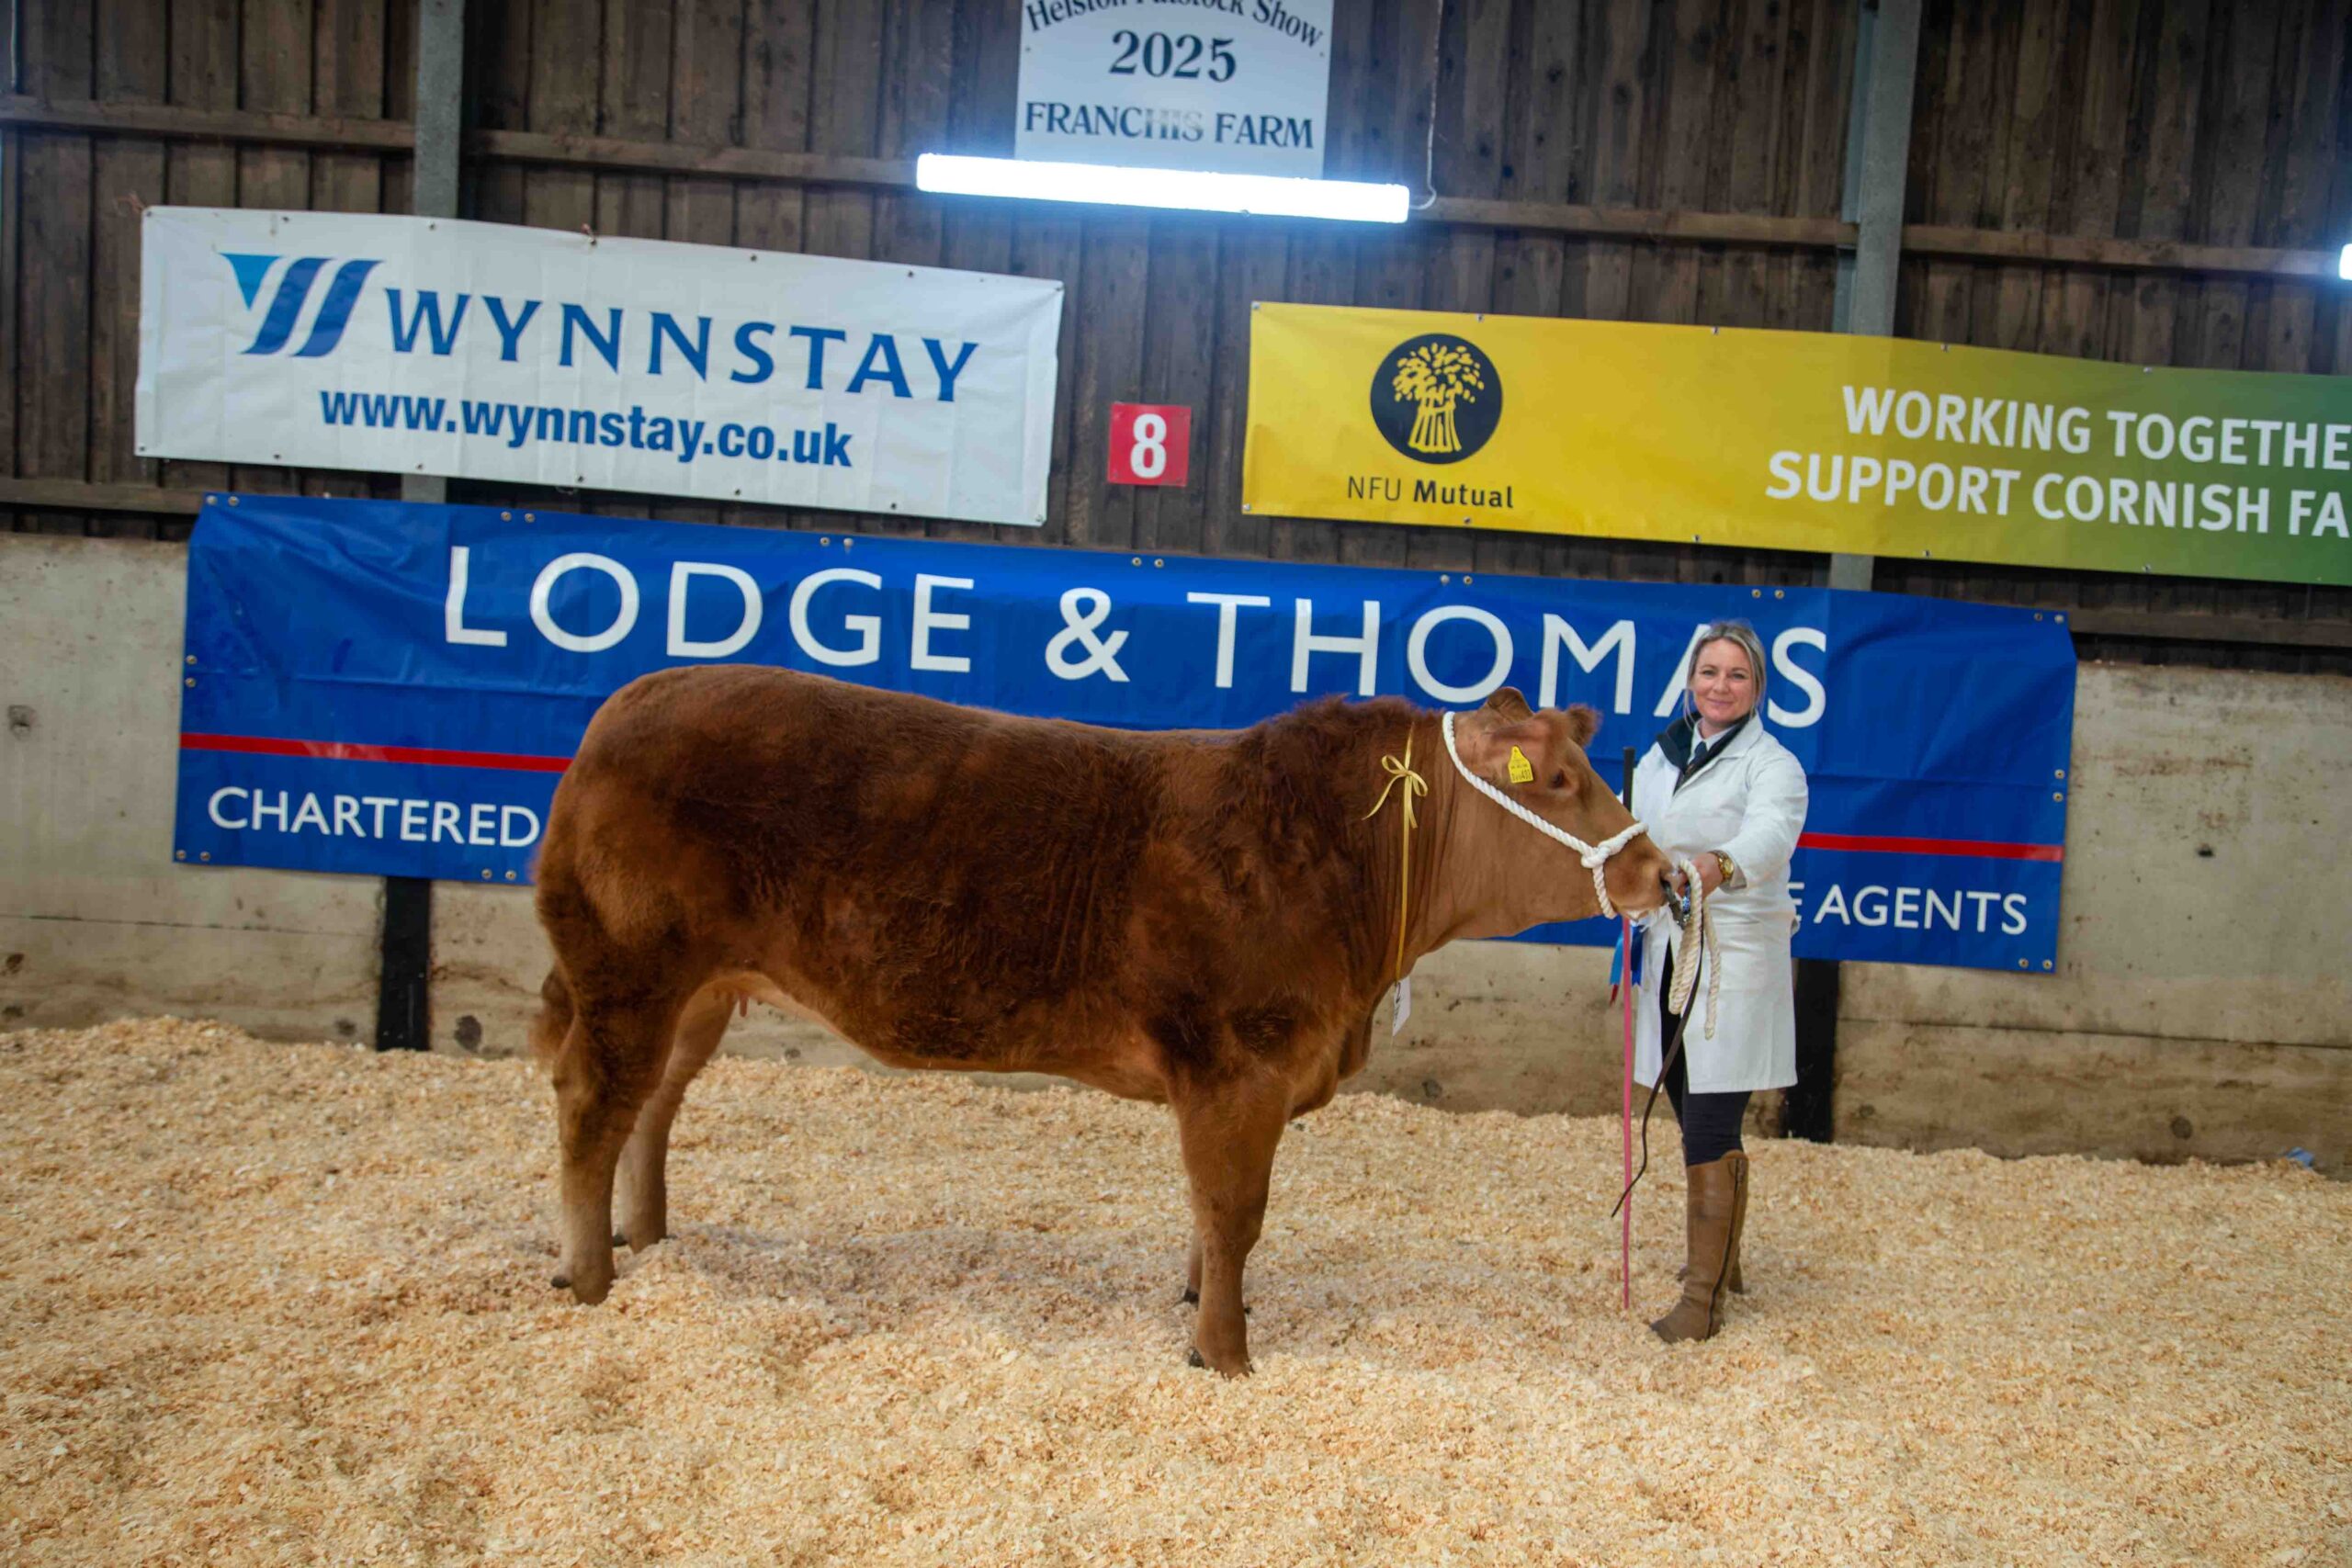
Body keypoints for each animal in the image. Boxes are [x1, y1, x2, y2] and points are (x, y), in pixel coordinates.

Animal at [530, 665, 1675, 1375]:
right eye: (1561, 779)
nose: (1661, 873)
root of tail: (625, 704)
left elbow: (1211, 1216)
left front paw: (1201, 1309)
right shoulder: (1238, 1062)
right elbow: (1234, 1211)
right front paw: (1226, 1353)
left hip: (699, 990)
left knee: (654, 1104)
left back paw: (649, 1235)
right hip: (630, 969)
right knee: (592, 1104)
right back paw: (587, 1276)